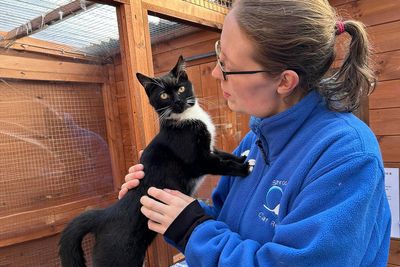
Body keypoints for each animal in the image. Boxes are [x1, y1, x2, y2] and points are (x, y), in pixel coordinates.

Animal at [58, 56, 248, 267]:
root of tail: (104, 215)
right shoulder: (198, 160)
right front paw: (244, 168)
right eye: (164, 95)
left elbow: (224, 155)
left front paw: (243, 156)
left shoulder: (210, 150)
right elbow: (220, 164)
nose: (178, 101)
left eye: (181, 89)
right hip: (119, 257)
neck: (186, 118)